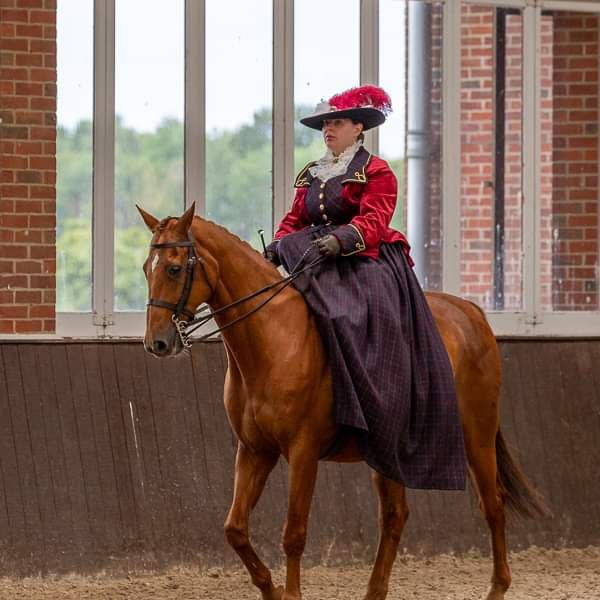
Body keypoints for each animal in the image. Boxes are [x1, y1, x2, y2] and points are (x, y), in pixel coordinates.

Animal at [138, 205, 548, 600]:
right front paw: (270, 589)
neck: (273, 339)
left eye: (174, 268)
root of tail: (470, 312)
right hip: (392, 454)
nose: (157, 343)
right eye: (146, 268)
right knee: (395, 516)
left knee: (493, 504)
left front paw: (290, 593)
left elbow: (294, 533)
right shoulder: (254, 450)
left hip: (477, 436)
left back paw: (497, 587)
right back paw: (374, 592)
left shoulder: (302, 452)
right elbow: (235, 528)